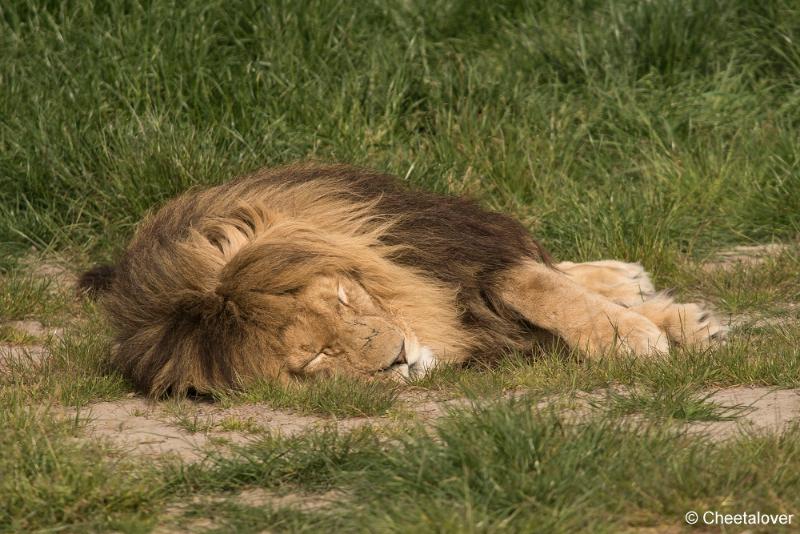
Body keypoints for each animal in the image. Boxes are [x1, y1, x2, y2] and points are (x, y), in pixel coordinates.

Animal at [79, 164, 724, 398]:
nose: (397, 359)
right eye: (314, 357)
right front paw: (655, 327)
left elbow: (541, 287)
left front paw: (647, 330)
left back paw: (628, 279)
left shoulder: (458, 256)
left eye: (343, 299)